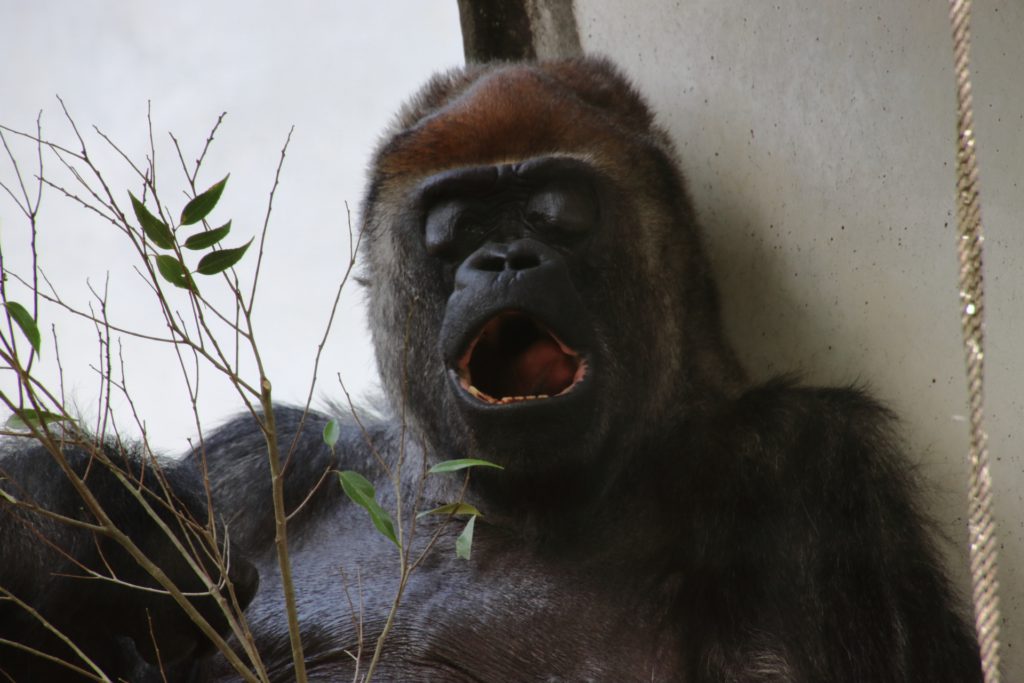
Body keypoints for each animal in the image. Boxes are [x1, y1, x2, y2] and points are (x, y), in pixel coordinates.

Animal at [0, 57, 981, 682]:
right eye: (459, 225)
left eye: (558, 212)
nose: (506, 258)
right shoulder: (263, 459)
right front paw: (70, 516)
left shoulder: (806, 467)